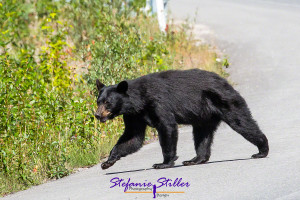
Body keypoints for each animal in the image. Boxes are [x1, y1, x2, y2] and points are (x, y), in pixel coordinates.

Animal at [96, 69, 270, 169]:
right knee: (201, 135)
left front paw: (163, 163)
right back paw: (196, 159)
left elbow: (167, 126)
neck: (139, 101)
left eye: (108, 103)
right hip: (204, 116)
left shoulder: (158, 103)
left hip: (226, 102)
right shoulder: (133, 115)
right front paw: (108, 161)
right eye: (98, 101)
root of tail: (225, 82)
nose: (97, 115)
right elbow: (133, 137)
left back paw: (262, 150)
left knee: (242, 123)